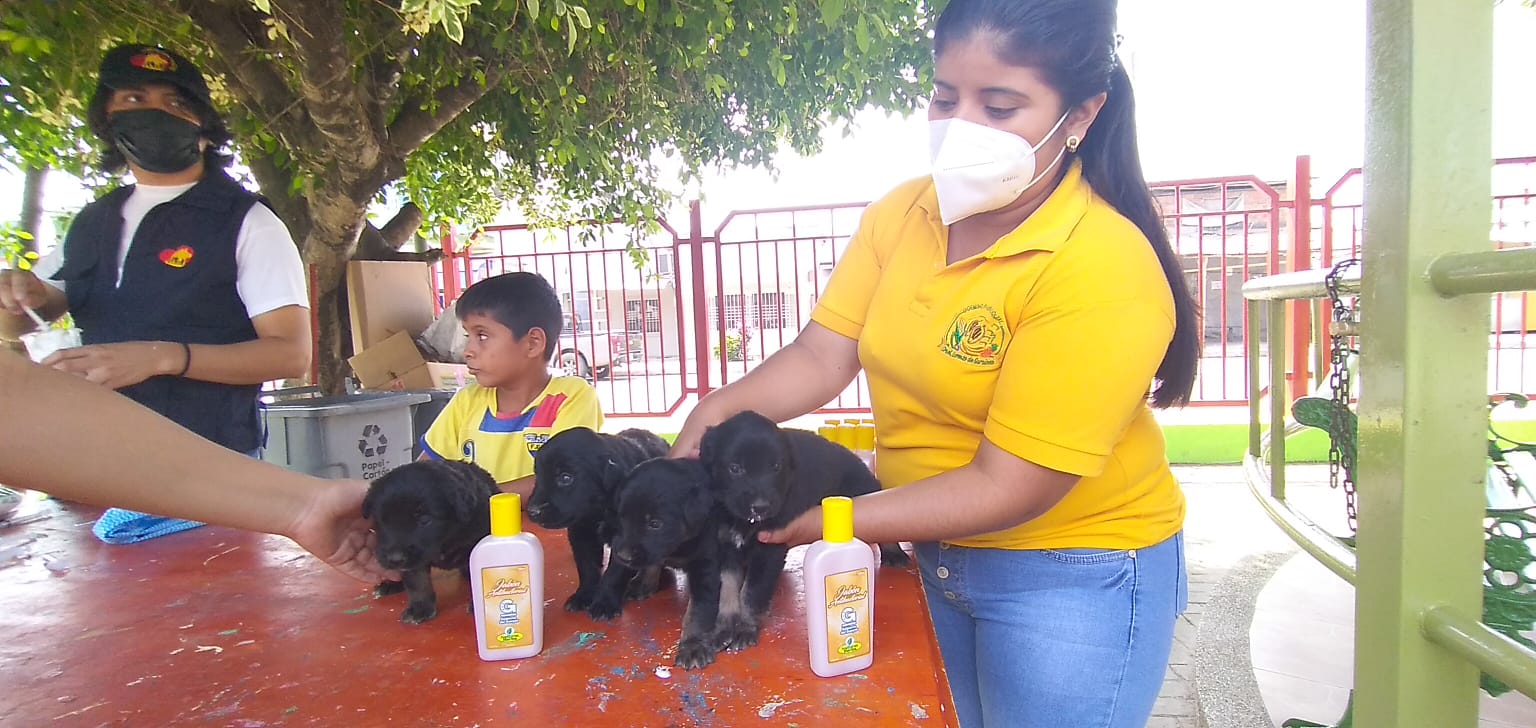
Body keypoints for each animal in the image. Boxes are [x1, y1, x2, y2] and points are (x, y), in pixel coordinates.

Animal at [363, 459, 499, 624]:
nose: (395, 559)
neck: (444, 541)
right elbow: (417, 582)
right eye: (381, 521)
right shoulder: (415, 561)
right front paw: (420, 608)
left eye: (424, 520)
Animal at [527, 426, 671, 620]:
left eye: (565, 478)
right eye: (538, 475)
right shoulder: (581, 534)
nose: (532, 511)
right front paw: (583, 596)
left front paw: (604, 604)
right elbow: (587, 568)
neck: (599, 511)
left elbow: (614, 573)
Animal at [607, 457, 738, 670]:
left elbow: (697, 612)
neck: (678, 546)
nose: (623, 557)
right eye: (622, 516)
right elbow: (653, 560)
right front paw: (644, 582)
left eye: (655, 524)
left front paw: (692, 645)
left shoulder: (705, 564)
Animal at [697, 410, 911, 651]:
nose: (760, 508)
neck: (743, 521)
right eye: (734, 468)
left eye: (776, 467)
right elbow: (728, 589)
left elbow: (752, 592)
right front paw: (723, 628)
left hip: (863, 491)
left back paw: (894, 553)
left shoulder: (769, 549)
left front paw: (745, 628)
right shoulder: (726, 545)